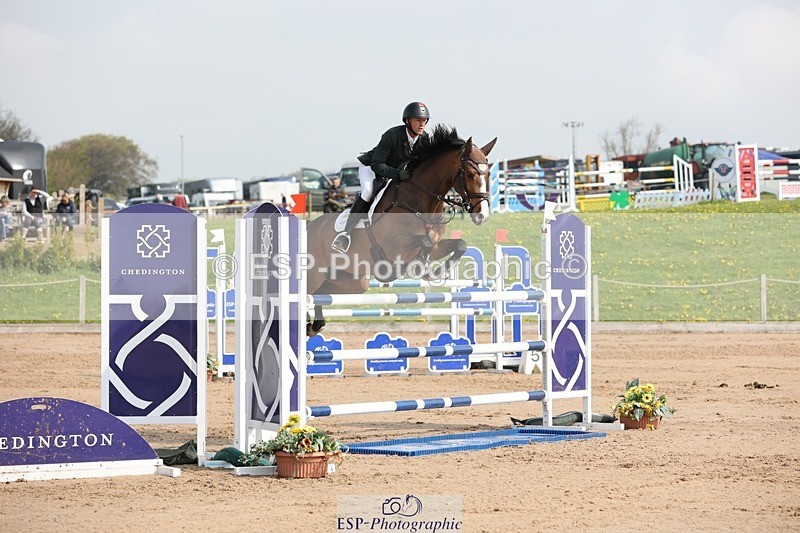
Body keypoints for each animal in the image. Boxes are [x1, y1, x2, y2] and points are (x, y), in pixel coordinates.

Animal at [305, 125, 497, 335]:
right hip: (314, 276)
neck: (420, 202)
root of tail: (309, 226)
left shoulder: (436, 246)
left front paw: (438, 273)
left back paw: (314, 325)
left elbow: (459, 244)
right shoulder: (394, 246)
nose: (482, 215)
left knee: (320, 295)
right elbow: (424, 242)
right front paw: (419, 267)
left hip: (351, 282)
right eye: (469, 174)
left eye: (488, 174)